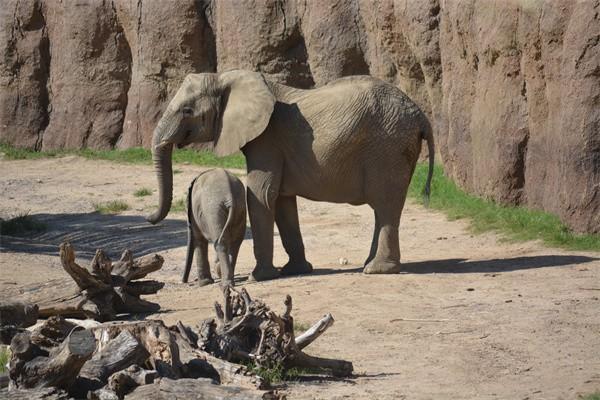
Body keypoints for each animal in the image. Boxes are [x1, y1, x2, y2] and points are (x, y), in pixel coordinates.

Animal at [147, 69, 434, 282]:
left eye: (187, 110)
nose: (149, 219)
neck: (227, 78)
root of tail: (421, 115)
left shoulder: (266, 139)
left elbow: (261, 194)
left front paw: (259, 277)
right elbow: (282, 201)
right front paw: (295, 271)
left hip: (388, 147)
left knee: (385, 206)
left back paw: (377, 270)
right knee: (383, 210)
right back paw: (370, 264)